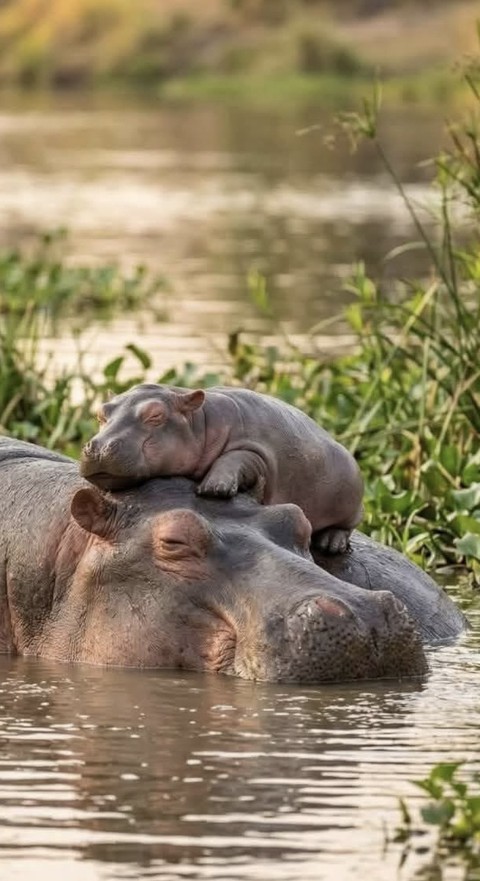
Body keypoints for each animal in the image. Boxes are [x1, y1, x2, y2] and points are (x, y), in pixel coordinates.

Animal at [80, 384, 364, 554]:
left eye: (155, 415)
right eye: (101, 413)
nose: (99, 447)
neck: (200, 422)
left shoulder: (256, 450)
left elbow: (233, 458)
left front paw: (214, 489)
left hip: (352, 496)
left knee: (348, 524)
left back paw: (331, 544)